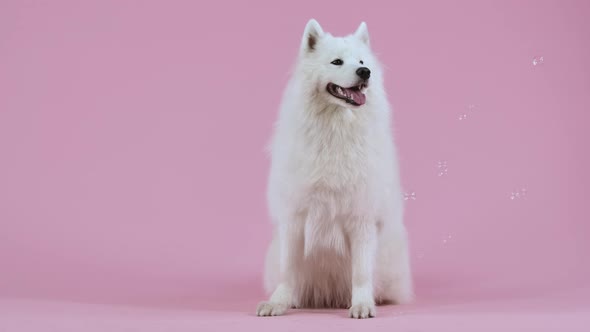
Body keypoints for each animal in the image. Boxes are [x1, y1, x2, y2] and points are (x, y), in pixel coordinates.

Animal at [256, 18, 414, 320]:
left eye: (362, 61)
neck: (335, 129)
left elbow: (361, 272)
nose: (365, 72)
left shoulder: (361, 217)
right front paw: (278, 302)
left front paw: (362, 304)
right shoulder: (294, 217)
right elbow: (288, 269)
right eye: (337, 62)